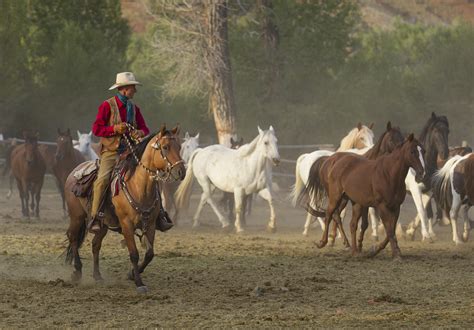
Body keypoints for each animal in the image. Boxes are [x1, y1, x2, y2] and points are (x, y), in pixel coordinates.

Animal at [64, 125, 186, 292]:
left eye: (179, 147)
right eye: (166, 147)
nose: (181, 172)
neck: (138, 186)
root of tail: (73, 172)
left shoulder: (150, 225)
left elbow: (149, 253)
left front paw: (131, 274)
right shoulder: (127, 225)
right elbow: (134, 253)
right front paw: (139, 283)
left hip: (102, 225)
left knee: (95, 244)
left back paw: (97, 276)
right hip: (77, 216)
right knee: (73, 237)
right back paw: (77, 270)